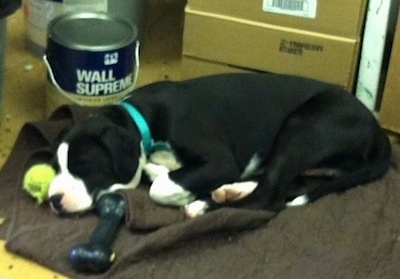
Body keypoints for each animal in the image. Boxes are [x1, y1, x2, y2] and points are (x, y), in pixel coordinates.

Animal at [48, 73, 392, 218]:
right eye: (55, 167)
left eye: (84, 166)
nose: (53, 200)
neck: (144, 118)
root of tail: (377, 128)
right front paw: (157, 168)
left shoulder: (220, 161)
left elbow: (161, 186)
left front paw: (180, 191)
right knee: (287, 185)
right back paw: (230, 190)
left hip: (301, 127)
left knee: (268, 198)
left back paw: (205, 205)